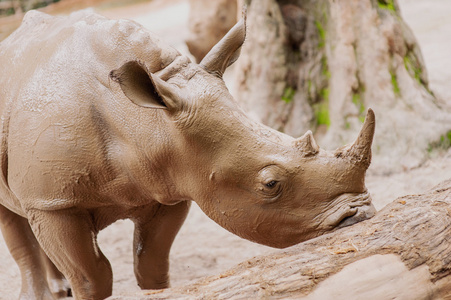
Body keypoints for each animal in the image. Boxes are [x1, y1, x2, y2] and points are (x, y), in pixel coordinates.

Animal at [0, 9, 374, 300]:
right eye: (270, 184)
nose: (361, 213)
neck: (145, 121)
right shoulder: (54, 202)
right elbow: (92, 277)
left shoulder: (172, 183)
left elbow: (151, 262)